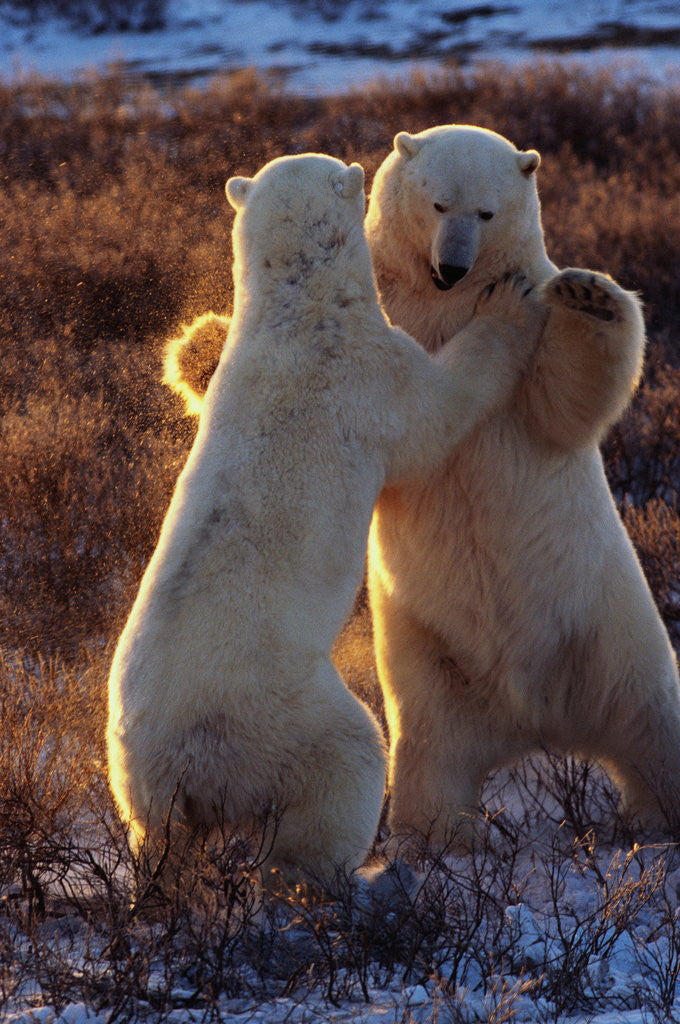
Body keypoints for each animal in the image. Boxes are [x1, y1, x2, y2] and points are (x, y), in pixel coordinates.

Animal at [107, 151, 546, 893]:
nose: (358, 162)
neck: (299, 309)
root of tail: (182, 762)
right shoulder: (366, 375)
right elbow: (438, 413)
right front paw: (507, 302)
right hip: (284, 715)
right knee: (346, 766)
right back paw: (346, 874)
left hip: (131, 772)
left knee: (161, 841)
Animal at [364, 124, 680, 848]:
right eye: (437, 203)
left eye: (486, 212)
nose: (451, 267)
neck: (445, 302)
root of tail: (532, 721)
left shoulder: (535, 305)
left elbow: (559, 401)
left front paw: (591, 295)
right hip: (430, 653)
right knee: (432, 750)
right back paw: (437, 835)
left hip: (609, 629)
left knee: (654, 722)